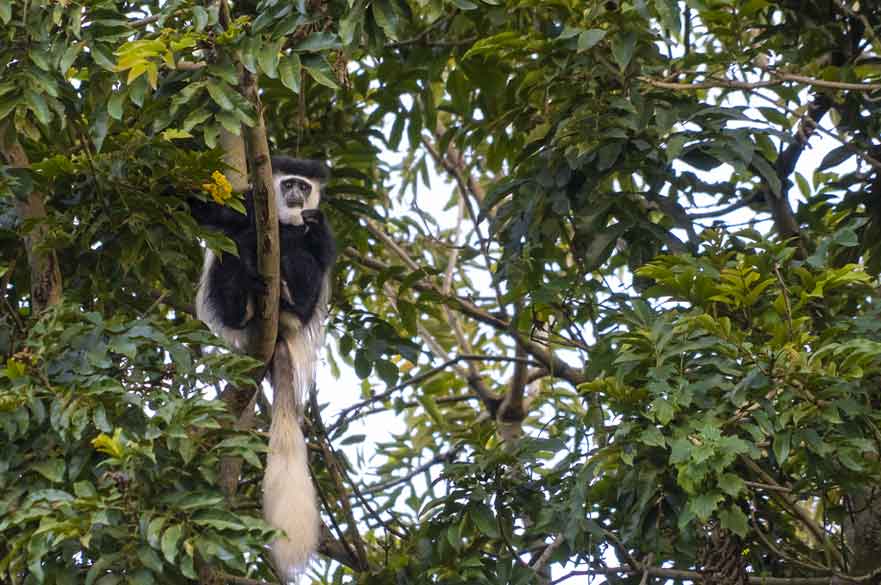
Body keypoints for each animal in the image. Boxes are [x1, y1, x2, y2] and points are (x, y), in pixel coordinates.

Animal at [190, 156, 334, 580]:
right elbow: (214, 214)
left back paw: (286, 297)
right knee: (237, 248)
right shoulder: (249, 208)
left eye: (305, 186)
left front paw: (313, 225)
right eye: (288, 183)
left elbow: (321, 250)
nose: (295, 194)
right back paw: (245, 301)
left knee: (301, 258)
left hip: (300, 303)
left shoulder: (319, 230)